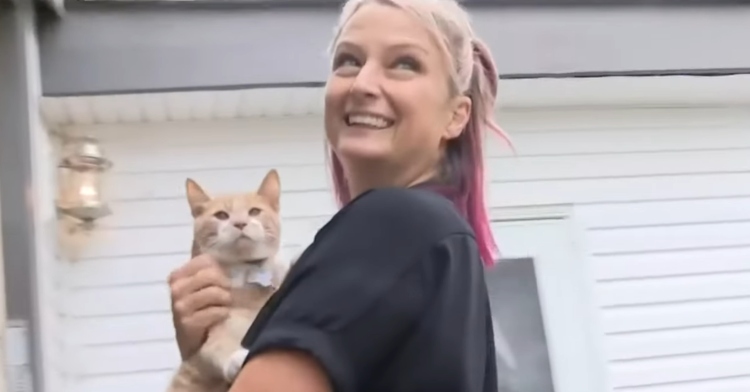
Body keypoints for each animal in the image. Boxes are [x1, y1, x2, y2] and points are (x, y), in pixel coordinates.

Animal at [167, 169, 288, 392]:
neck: (248, 274)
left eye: (254, 211)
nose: (240, 223)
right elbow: (218, 346)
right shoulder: (212, 336)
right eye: (221, 215)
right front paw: (237, 358)